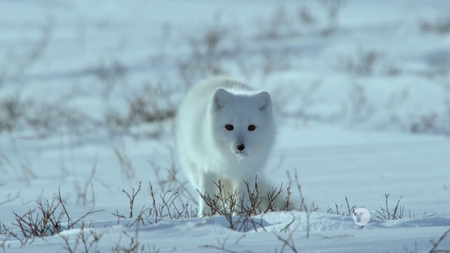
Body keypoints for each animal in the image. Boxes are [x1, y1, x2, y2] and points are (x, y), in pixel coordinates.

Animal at [177, 77, 278, 215]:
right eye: (229, 127)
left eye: (251, 127)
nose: (240, 146)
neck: (231, 161)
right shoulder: (207, 169)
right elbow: (207, 197)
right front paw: (206, 216)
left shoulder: (247, 173)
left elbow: (242, 199)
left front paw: (240, 216)